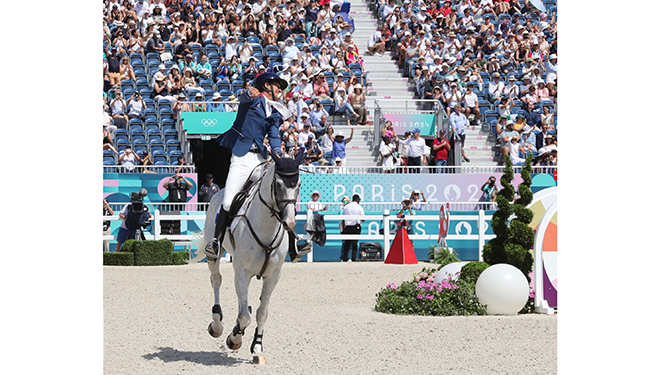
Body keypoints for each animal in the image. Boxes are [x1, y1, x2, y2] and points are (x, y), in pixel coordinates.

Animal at [204, 152, 304, 358]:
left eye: (298, 185)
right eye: (277, 184)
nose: (289, 222)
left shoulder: (273, 276)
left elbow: (261, 312)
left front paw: (257, 344)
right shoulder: (242, 272)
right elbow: (244, 316)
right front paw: (234, 339)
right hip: (214, 256)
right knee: (216, 279)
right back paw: (217, 324)